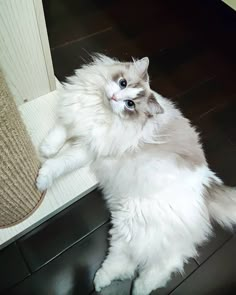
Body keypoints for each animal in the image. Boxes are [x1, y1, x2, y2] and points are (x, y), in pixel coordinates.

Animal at [35, 54, 236, 294]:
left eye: (130, 105)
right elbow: (59, 134)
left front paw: (42, 179)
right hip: (130, 226)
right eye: (122, 83)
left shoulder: (89, 148)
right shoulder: (77, 120)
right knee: (132, 262)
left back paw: (136, 288)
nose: (114, 97)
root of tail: (208, 184)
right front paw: (46, 150)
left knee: (159, 263)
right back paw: (106, 282)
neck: (100, 110)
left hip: (134, 221)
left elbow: (61, 163)